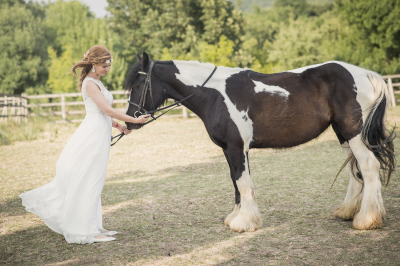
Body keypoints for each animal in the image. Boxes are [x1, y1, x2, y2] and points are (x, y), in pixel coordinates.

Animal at [124, 51, 394, 231]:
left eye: (139, 83)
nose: (130, 120)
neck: (215, 95)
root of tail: (366, 74)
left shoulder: (236, 148)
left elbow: (243, 184)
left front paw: (244, 223)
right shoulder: (230, 150)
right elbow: (236, 183)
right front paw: (237, 217)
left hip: (353, 133)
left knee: (368, 166)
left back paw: (366, 219)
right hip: (343, 135)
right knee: (355, 169)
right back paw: (347, 212)